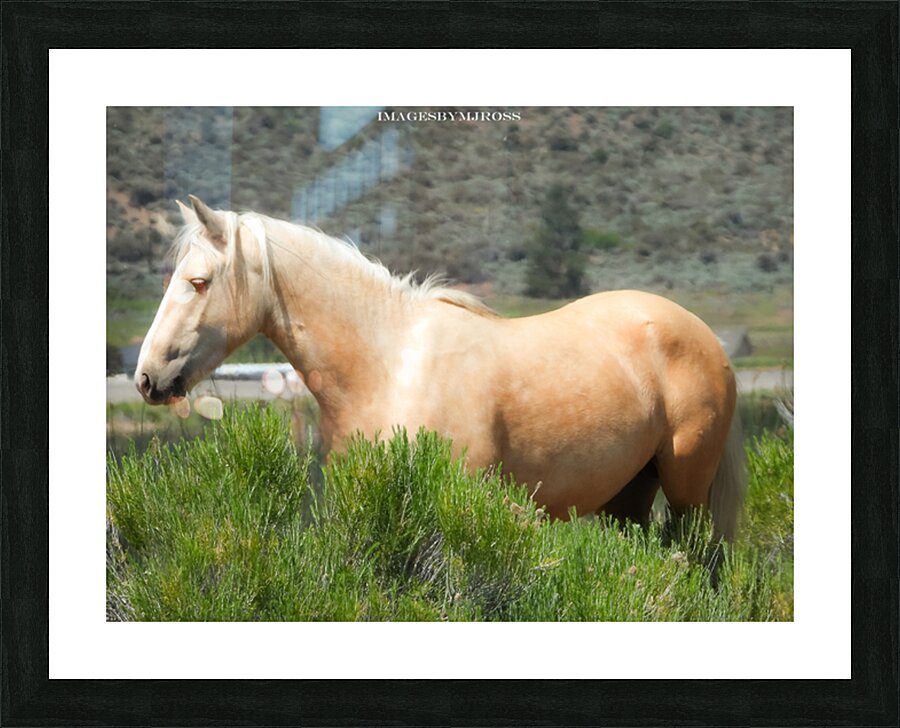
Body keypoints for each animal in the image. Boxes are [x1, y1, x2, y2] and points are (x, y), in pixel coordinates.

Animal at [135, 195, 746, 540]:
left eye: (198, 282)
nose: (146, 377)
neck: (390, 365)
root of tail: (705, 336)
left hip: (687, 490)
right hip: (630, 495)